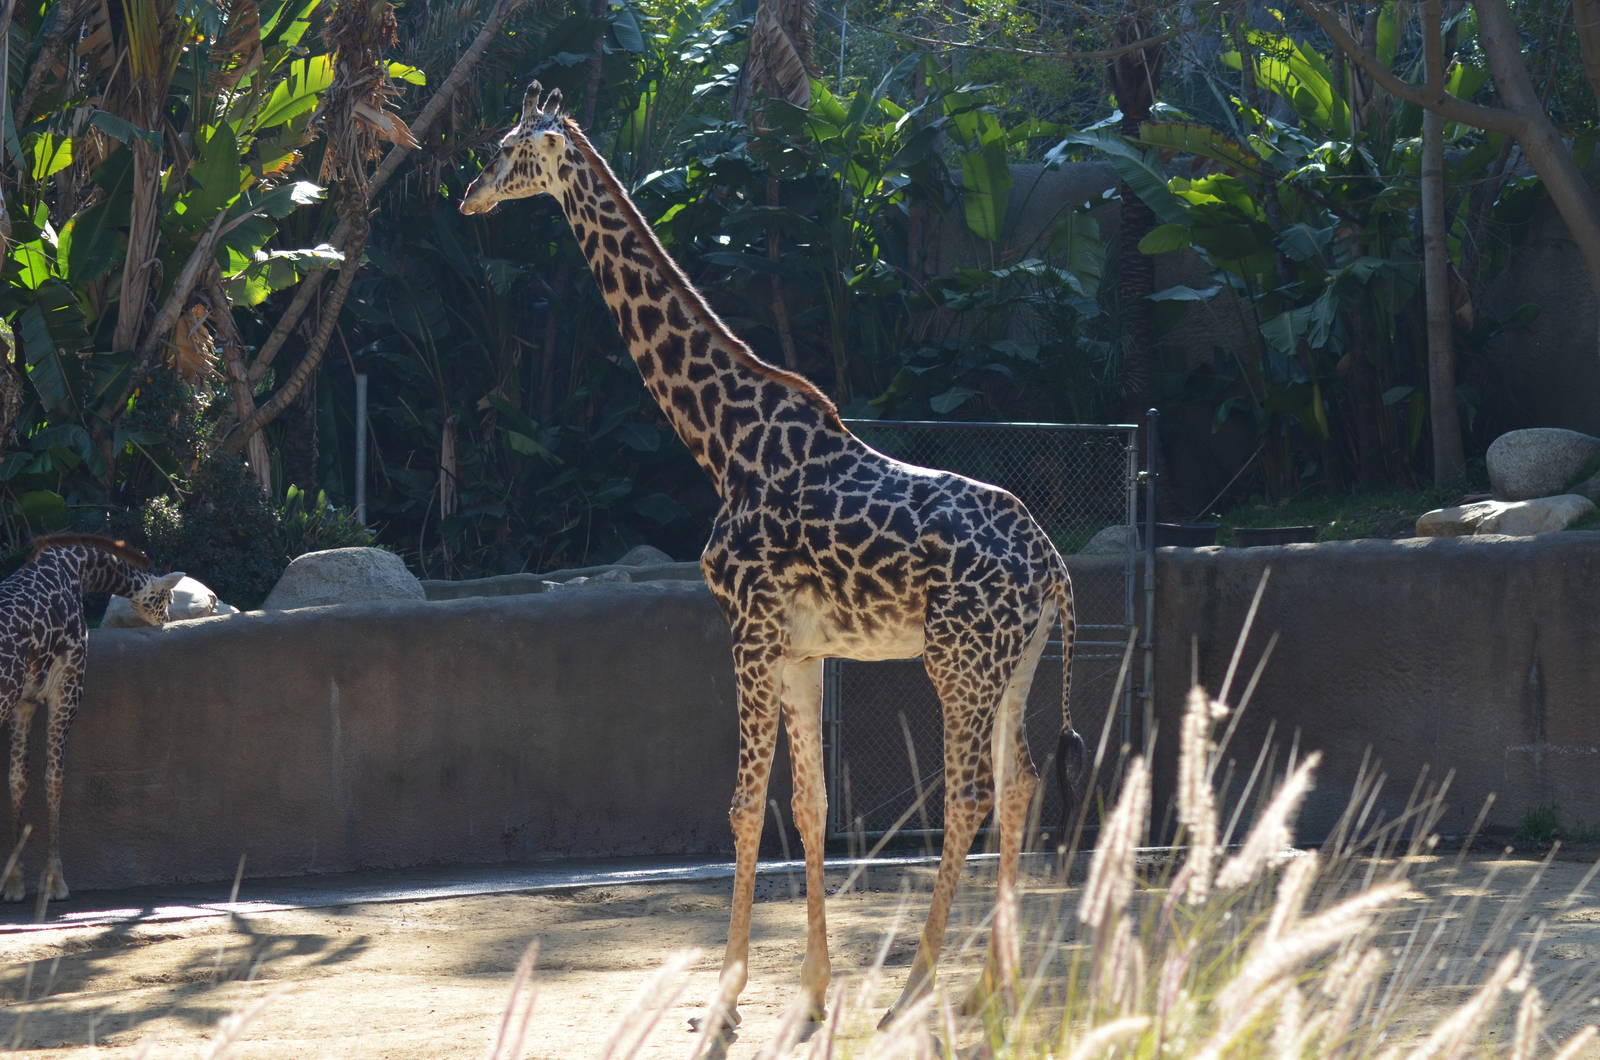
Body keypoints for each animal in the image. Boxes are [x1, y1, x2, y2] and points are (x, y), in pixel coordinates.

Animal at [0, 534, 183, 901]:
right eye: (167, 597)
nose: (167, 619)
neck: (79, 567)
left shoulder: (25, 702)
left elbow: (18, 779)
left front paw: (13, 883)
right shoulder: (67, 687)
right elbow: (54, 778)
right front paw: (55, 882)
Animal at [461, 83, 1087, 1037]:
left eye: (506, 149)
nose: (468, 197)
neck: (725, 442)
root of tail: (1054, 568)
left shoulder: (748, 630)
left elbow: (744, 804)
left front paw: (724, 996)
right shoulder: (801, 647)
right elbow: (810, 803)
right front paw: (812, 991)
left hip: (959, 662)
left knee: (971, 794)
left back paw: (916, 989)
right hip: (1015, 663)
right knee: (1018, 784)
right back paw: (994, 989)